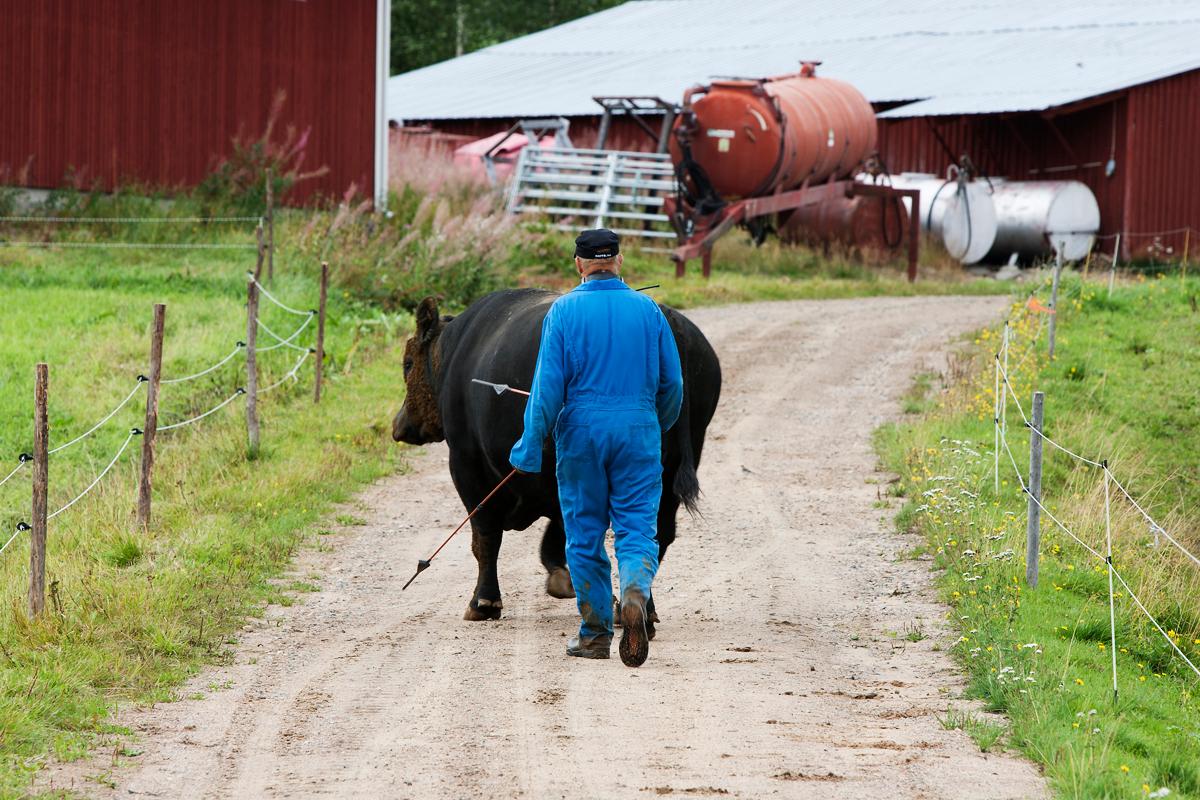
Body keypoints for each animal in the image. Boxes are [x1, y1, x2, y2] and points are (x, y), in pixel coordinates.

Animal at [391, 289, 720, 623]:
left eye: (407, 363)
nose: (398, 425)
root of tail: (669, 317)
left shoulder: (466, 463)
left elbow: (485, 535)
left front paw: (484, 601)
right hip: (671, 468)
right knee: (656, 534)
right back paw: (639, 609)